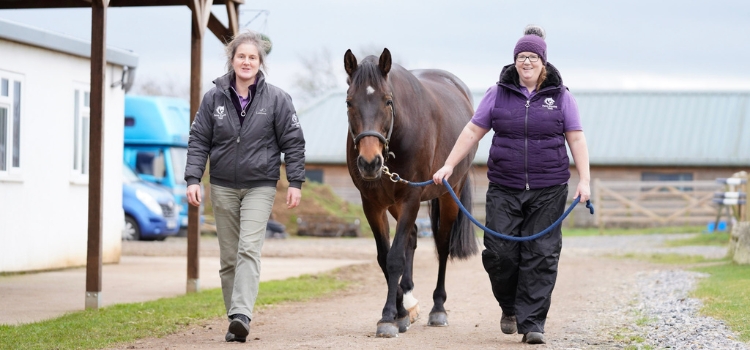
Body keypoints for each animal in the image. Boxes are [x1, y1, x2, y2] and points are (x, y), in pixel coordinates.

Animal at [344, 47, 478, 338]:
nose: (369, 163)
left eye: (388, 101)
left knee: (442, 245)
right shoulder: (372, 204)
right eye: (349, 102)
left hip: (449, 194)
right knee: (413, 237)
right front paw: (400, 314)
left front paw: (388, 317)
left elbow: (395, 258)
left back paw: (438, 308)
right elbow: (385, 257)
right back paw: (409, 300)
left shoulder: (411, 198)